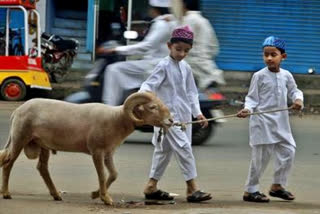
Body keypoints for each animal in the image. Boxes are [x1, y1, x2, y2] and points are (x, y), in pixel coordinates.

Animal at [0, 91, 172, 205]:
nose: (171, 120)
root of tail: (17, 110)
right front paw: (106, 198)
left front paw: (95, 194)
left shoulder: (108, 152)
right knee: (8, 164)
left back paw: (56, 195)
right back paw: (6, 193)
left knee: (42, 168)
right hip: (20, 138)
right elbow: (102, 175)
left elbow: (114, 174)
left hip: (42, 145)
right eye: (152, 107)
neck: (116, 119)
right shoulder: (97, 151)